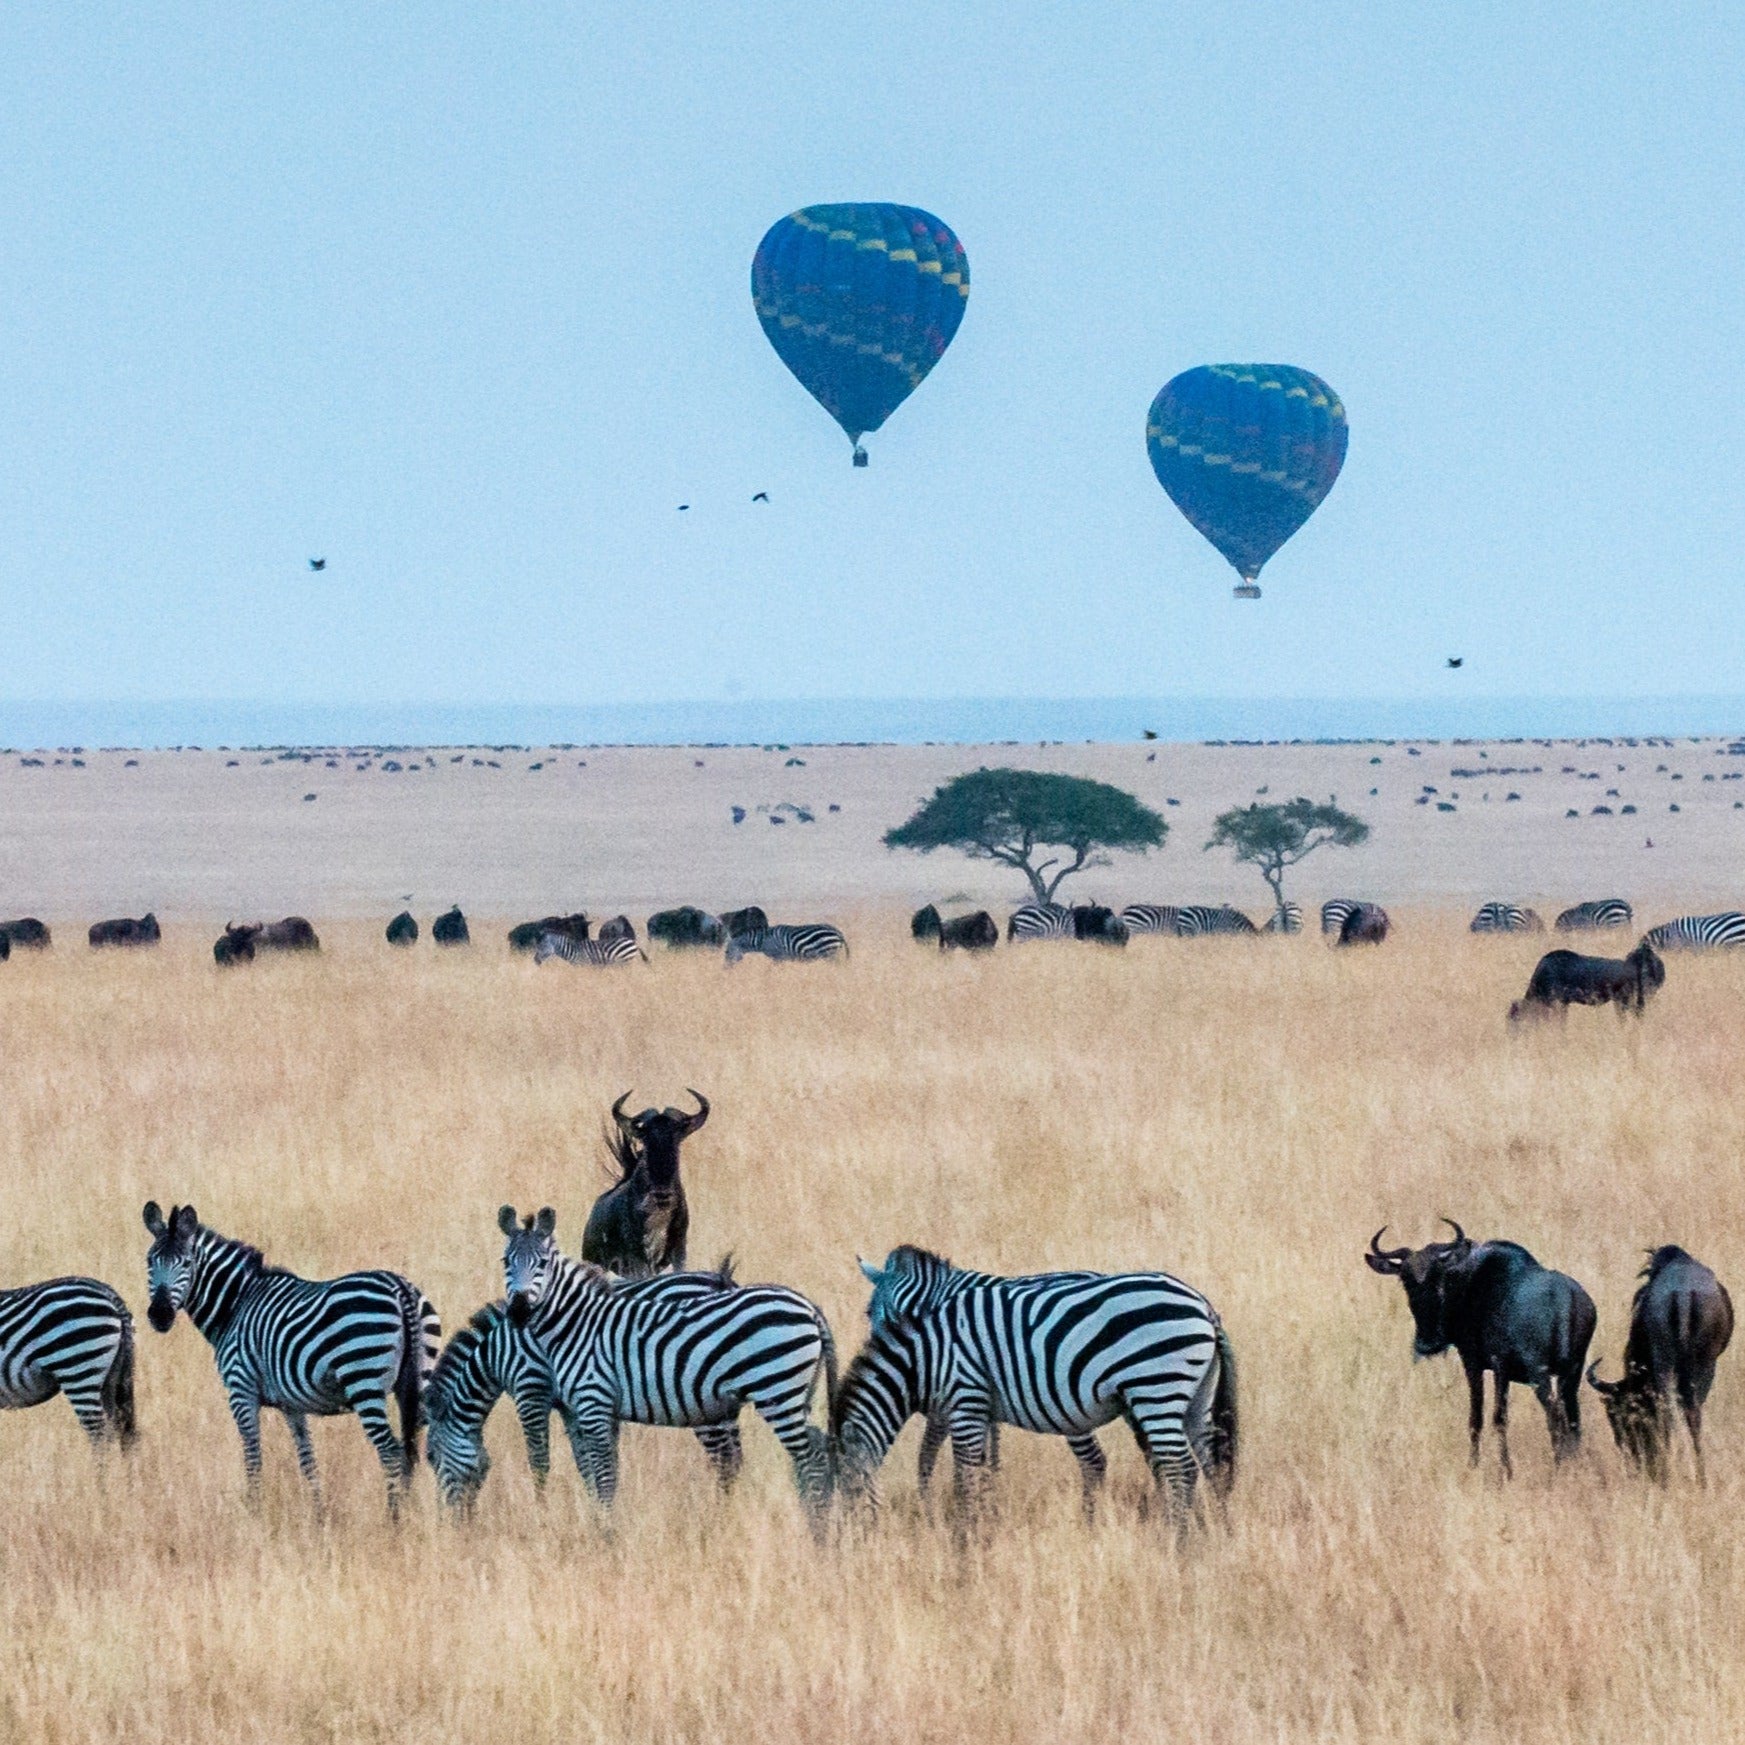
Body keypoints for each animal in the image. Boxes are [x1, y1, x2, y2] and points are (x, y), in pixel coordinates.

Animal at [143, 1200, 443, 1514]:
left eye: (186, 1263)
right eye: (150, 1261)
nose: (160, 1315)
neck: (237, 1304)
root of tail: (400, 1288)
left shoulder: (241, 1390)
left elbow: (253, 1455)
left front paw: (254, 1511)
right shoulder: (292, 1405)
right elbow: (307, 1459)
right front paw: (318, 1512)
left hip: (364, 1380)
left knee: (391, 1451)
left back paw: (393, 1517)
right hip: (419, 1379)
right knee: (418, 1449)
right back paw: (416, 1513)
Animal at [499, 1207, 837, 1521]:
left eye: (543, 1263)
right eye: (505, 1262)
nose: (518, 1311)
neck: (577, 1323)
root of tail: (809, 1307)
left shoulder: (569, 1397)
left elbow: (572, 1467)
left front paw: (590, 1524)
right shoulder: (586, 1407)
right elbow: (598, 1470)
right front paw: (598, 1516)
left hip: (773, 1390)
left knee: (808, 1459)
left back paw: (813, 1521)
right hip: (781, 1395)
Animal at [834, 1249, 1235, 1521]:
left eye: (886, 1315)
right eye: (869, 1314)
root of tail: (1204, 1307)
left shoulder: (961, 1391)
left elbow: (939, 1456)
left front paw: (949, 1509)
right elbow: (973, 1457)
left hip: (1149, 1386)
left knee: (1162, 1463)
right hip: (1183, 1397)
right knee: (1203, 1460)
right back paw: (1213, 1528)